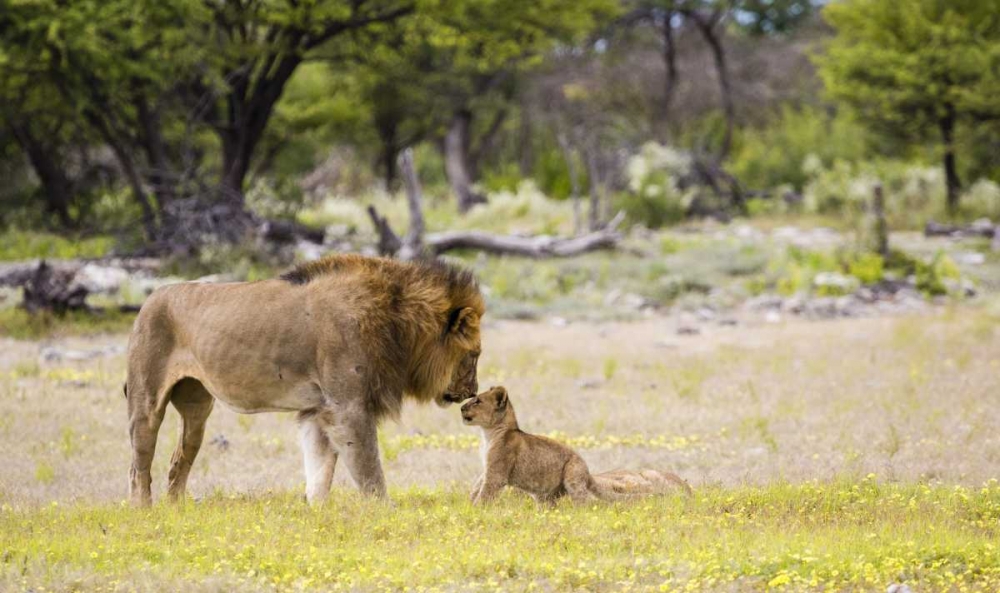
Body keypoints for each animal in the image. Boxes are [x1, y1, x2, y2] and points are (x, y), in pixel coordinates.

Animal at [125, 253, 484, 504]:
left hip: (197, 406)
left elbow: (319, 471)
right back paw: (145, 512)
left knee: (179, 458)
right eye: (475, 355)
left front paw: (316, 513)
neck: (398, 324)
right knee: (138, 466)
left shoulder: (317, 410)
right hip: (146, 402)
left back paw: (177, 509)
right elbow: (369, 469)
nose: (472, 391)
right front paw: (384, 511)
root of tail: (149, 299)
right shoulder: (348, 407)